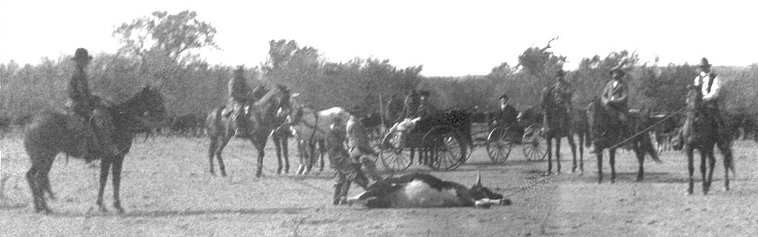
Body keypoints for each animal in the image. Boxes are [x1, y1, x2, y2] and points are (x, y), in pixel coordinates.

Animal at [24, 86, 167, 214]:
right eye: (155, 97)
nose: (165, 115)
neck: (119, 120)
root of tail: (30, 124)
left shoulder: (111, 158)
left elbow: (108, 180)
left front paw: (106, 204)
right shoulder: (114, 157)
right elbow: (110, 180)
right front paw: (111, 205)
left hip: (39, 160)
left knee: (31, 176)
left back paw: (38, 207)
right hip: (46, 158)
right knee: (39, 178)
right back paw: (46, 208)